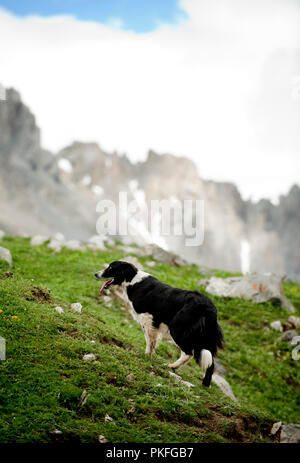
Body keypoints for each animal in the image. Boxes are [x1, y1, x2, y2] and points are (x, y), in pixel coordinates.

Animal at [95, 260, 224, 388]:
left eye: (111, 268)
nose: (96, 274)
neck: (132, 279)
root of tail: (209, 308)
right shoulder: (154, 322)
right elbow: (153, 340)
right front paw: (150, 355)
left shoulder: (146, 317)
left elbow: (149, 339)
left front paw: (146, 355)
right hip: (206, 338)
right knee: (211, 363)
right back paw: (205, 384)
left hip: (177, 329)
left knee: (188, 353)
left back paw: (172, 366)